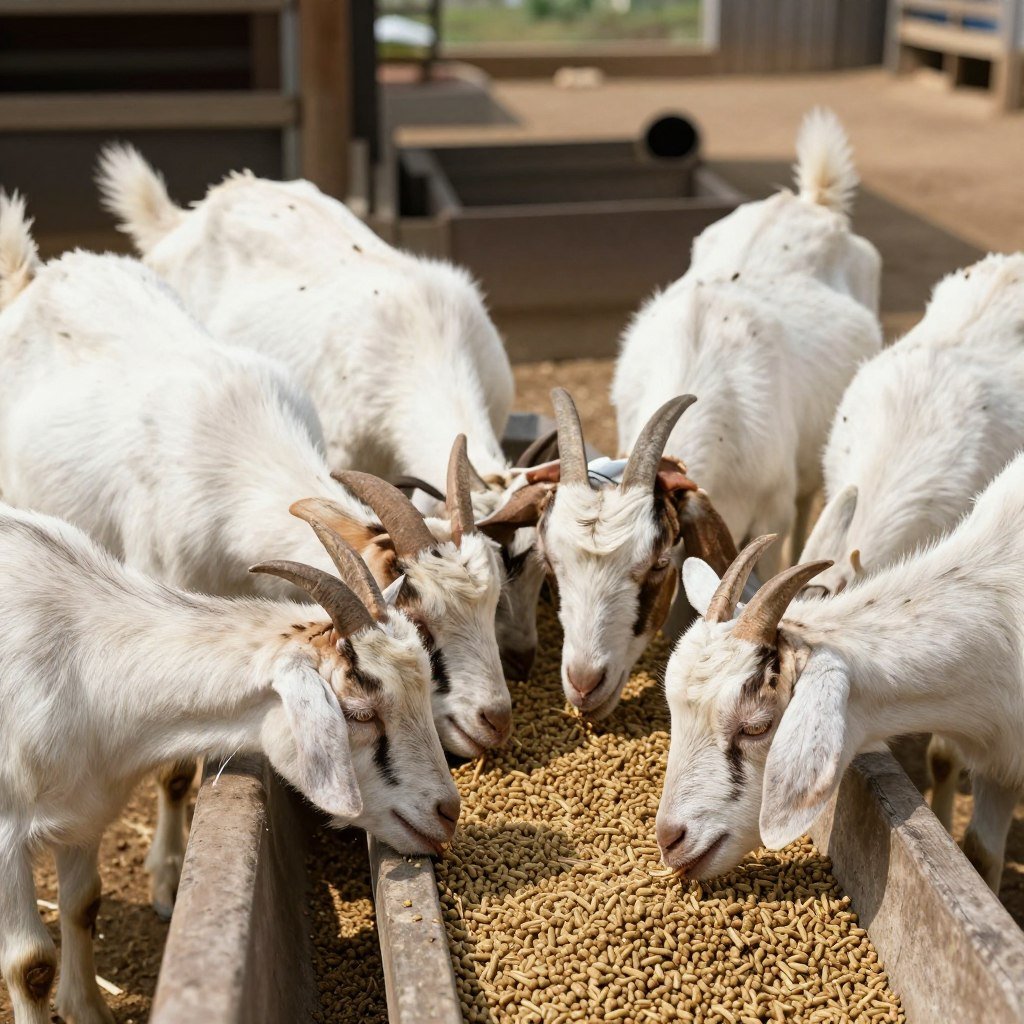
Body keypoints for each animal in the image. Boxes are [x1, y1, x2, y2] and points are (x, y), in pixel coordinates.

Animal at [0, 195, 505, 917]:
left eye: (494, 606)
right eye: (424, 626)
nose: (497, 720)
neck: (229, 449)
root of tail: (36, 275)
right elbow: (175, 772)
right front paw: (168, 876)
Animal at [0, 504, 458, 1024]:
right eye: (361, 713)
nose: (448, 812)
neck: (83, 668)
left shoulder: (84, 817)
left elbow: (82, 906)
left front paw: (87, 1010)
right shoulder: (6, 837)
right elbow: (31, 964)